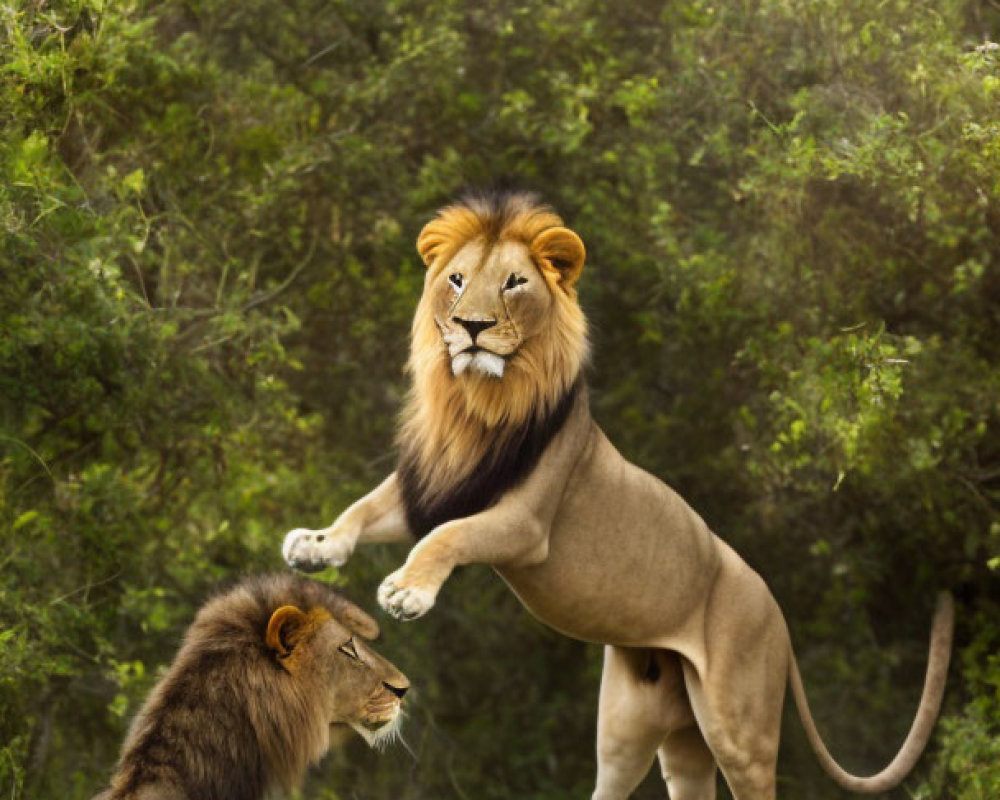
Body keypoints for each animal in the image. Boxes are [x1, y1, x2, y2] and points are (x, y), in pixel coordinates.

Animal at [282, 189, 952, 800]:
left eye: (514, 283)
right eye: (457, 279)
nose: (472, 328)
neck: (479, 403)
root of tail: (778, 617)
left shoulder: (526, 524)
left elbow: (449, 536)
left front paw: (407, 591)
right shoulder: (439, 484)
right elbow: (365, 509)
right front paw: (314, 545)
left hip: (741, 726)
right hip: (639, 730)